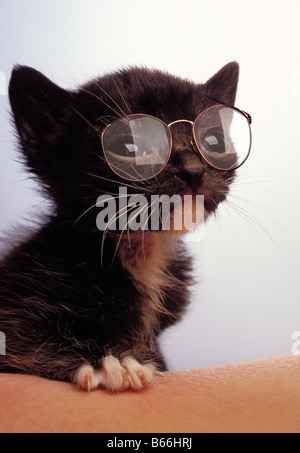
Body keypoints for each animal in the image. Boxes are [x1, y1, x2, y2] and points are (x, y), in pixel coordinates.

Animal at [0, 61, 246, 390]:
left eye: (213, 142)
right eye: (129, 148)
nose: (193, 170)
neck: (141, 251)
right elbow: (24, 338)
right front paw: (108, 362)